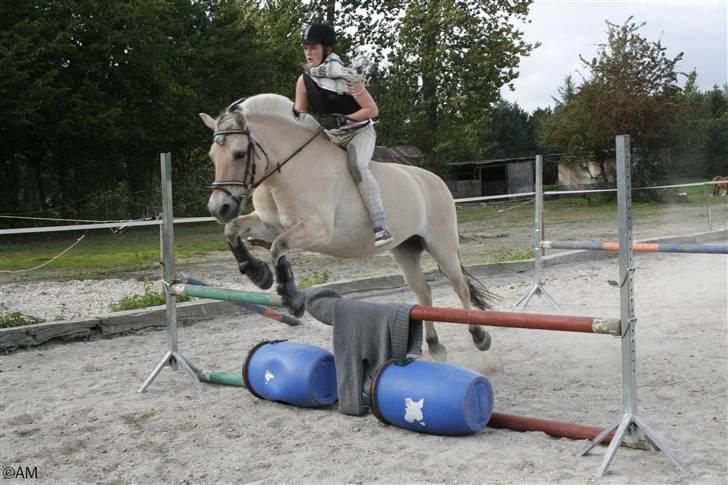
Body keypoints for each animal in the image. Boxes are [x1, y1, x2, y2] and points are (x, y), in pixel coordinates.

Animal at [199, 94, 494, 360]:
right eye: (212, 156)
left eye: (239, 154)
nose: (218, 208)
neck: (287, 171)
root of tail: (435, 180)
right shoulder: (268, 224)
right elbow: (234, 231)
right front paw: (257, 274)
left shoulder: (317, 230)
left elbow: (278, 246)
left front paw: (291, 298)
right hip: (405, 250)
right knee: (424, 292)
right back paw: (434, 346)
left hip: (442, 247)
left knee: (459, 287)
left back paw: (479, 337)